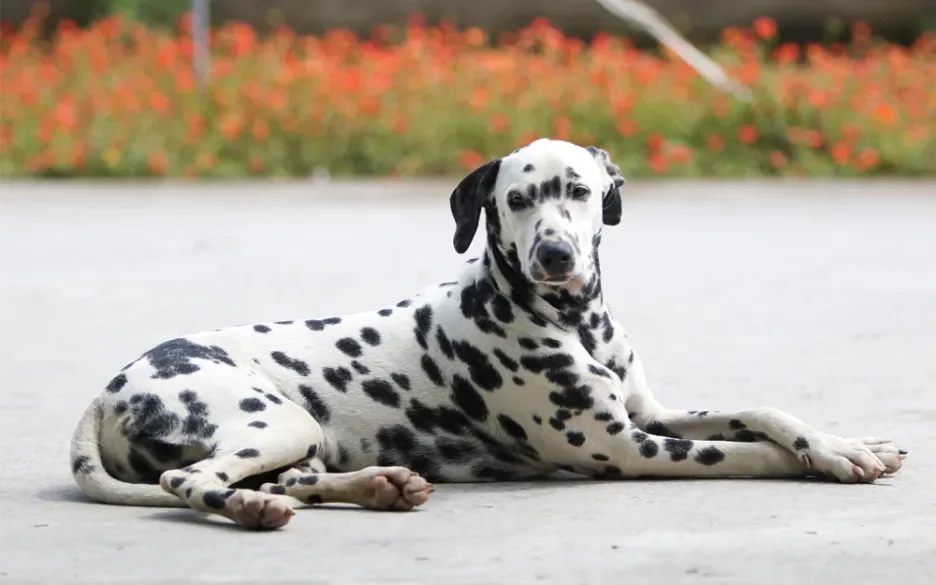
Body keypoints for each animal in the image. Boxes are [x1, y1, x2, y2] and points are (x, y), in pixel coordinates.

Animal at [71, 138, 908, 528]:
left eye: (579, 191)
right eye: (515, 200)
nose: (555, 255)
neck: (573, 320)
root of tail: (110, 387)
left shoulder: (652, 415)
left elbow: (767, 413)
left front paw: (846, 442)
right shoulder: (628, 447)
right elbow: (747, 452)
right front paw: (825, 461)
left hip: (300, 436)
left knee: (287, 479)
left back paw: (377, 485)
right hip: (272, 420)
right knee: (196, 482)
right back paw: (253, 509)